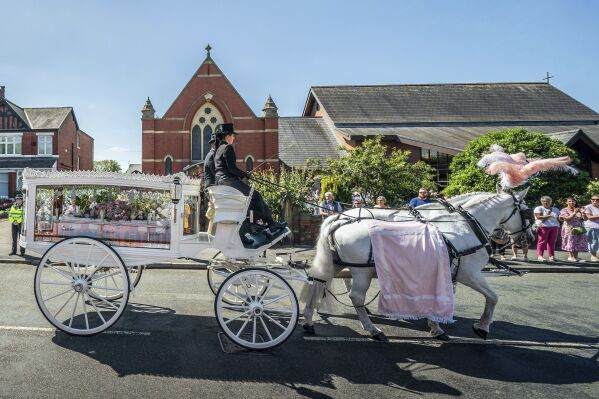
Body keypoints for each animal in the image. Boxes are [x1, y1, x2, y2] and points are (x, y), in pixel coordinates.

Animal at [302, 189, 532, 342]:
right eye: (527, 212)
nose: (527, 238)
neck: (463, 225)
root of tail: (340, 219)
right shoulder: (469, 273)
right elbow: (492, 297)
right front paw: (481, 327)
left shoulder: (445, 270)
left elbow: (443, 294)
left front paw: (435, 323)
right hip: (362, 270)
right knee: (355, 295)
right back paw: (372, 329)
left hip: (336, 262)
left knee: (318, 281)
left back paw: (308, 321)